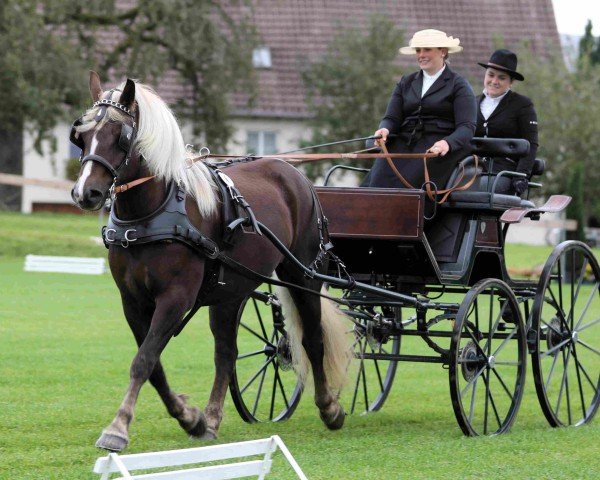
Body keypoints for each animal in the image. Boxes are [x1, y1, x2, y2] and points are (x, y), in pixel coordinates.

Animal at [71, 70, 350, 450]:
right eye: (81, 135)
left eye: (120, 136)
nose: (86, 193)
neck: (151, 214)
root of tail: (296, 176)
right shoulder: (132, 301)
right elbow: (154, 365)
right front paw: (190, 418)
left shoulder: (175, 298)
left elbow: (144, 360)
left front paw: (117, 428)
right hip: (229, 291)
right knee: (226, 353)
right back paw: (212, 418)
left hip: (302, 275)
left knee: (312, 341)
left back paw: (329, 408)